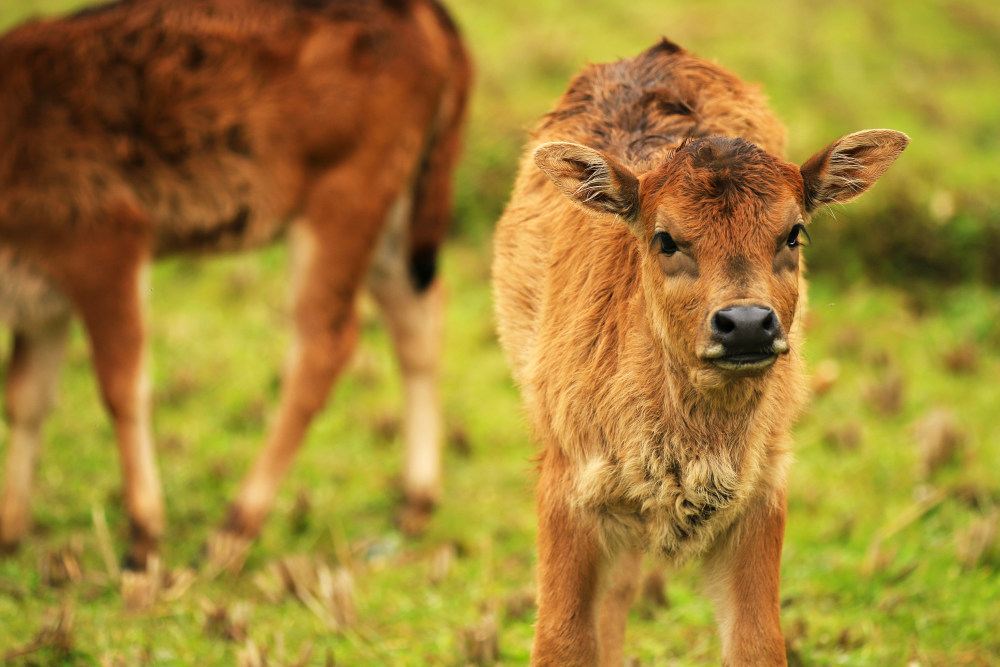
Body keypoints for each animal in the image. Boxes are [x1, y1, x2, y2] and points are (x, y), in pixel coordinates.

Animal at [0, 0, 468, 576]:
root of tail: (421, 11)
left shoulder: (104, 243)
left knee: (325, 345)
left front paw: (143, 539)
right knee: (418, 313)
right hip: (392, 218)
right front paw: (9, 528)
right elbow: (26, 399)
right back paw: (416, 501)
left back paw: (233, 529)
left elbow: (120, 386)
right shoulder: (41, 298)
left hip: (341, 201)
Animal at [496, 39, 912, 664]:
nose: (746, 325)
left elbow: (759, 642)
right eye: (665, 238)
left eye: (794, 233)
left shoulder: (764, 488)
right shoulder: (566, 480)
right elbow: (560, 638)